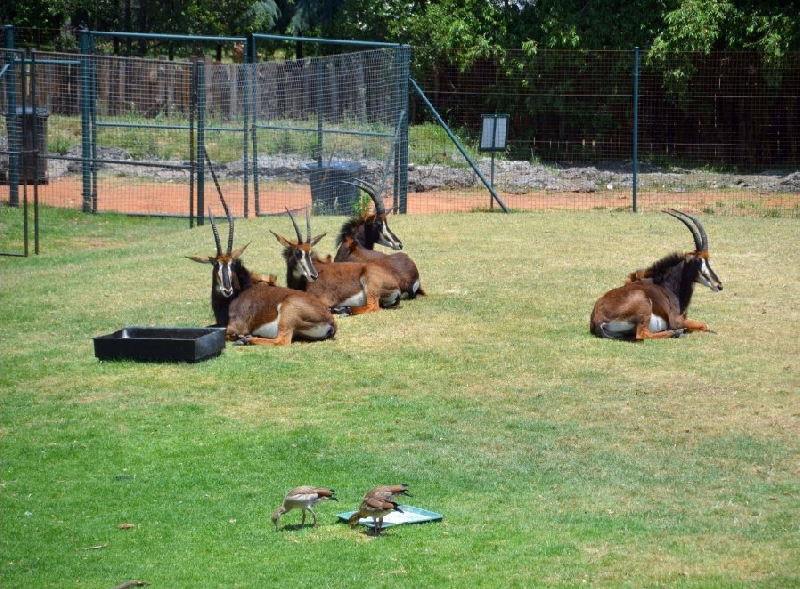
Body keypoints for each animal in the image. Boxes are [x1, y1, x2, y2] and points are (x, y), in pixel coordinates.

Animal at [188, 207, 338, 344]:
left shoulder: (237, 326)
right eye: (216, 264)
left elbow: (226, 332)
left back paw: (246, 339)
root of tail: (330, 320)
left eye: (232, 264)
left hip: (287, 313)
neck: (237, 294)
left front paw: (239, 336)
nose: (227, 289)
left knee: (281, 341)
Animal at [588, 209, 724, 340]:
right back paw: (677, 333)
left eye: (708, 260)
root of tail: (598, 318)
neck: (666, 286)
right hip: (644, 307)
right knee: (642, 334)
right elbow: (704, 325)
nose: (718, 285)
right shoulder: (677, 321)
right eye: (697, 261)